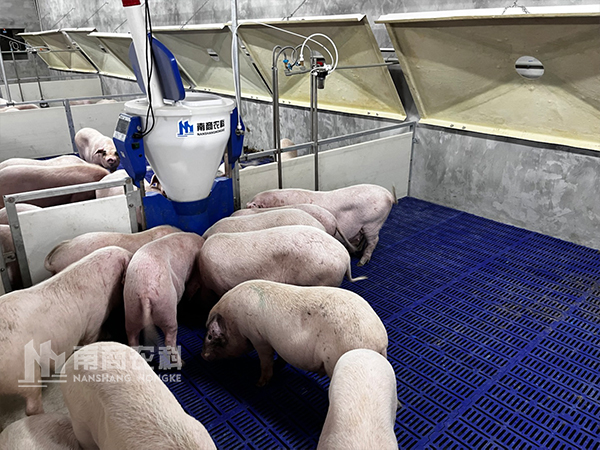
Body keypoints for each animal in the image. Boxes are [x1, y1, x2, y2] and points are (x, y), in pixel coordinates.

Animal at [124, 232, 205, 366]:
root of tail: (145, 293)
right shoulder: (195, 273)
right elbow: (192, 286)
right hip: (167, 309)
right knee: (169, 340)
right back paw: (182, 363)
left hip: (131, 311)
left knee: (132, 340)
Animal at [202, 280, 388, 386]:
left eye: (210, 336)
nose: (202, 355)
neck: (234, 323)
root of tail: (380, 341)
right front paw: (278, 366)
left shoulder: (258, 338)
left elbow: (265, 360)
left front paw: (259, 384)